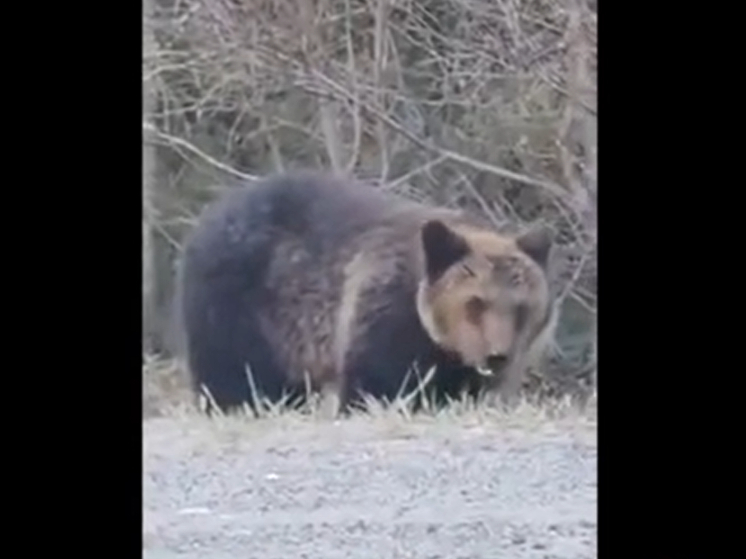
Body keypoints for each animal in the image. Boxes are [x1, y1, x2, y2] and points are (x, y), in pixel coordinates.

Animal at [174, 173, 556, 418]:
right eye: (475, 302)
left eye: (521, 307)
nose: (497, 355)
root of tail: (207, 215)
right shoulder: (383, 313)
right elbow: (375, 383)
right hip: (240, 308)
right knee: (234, 372)